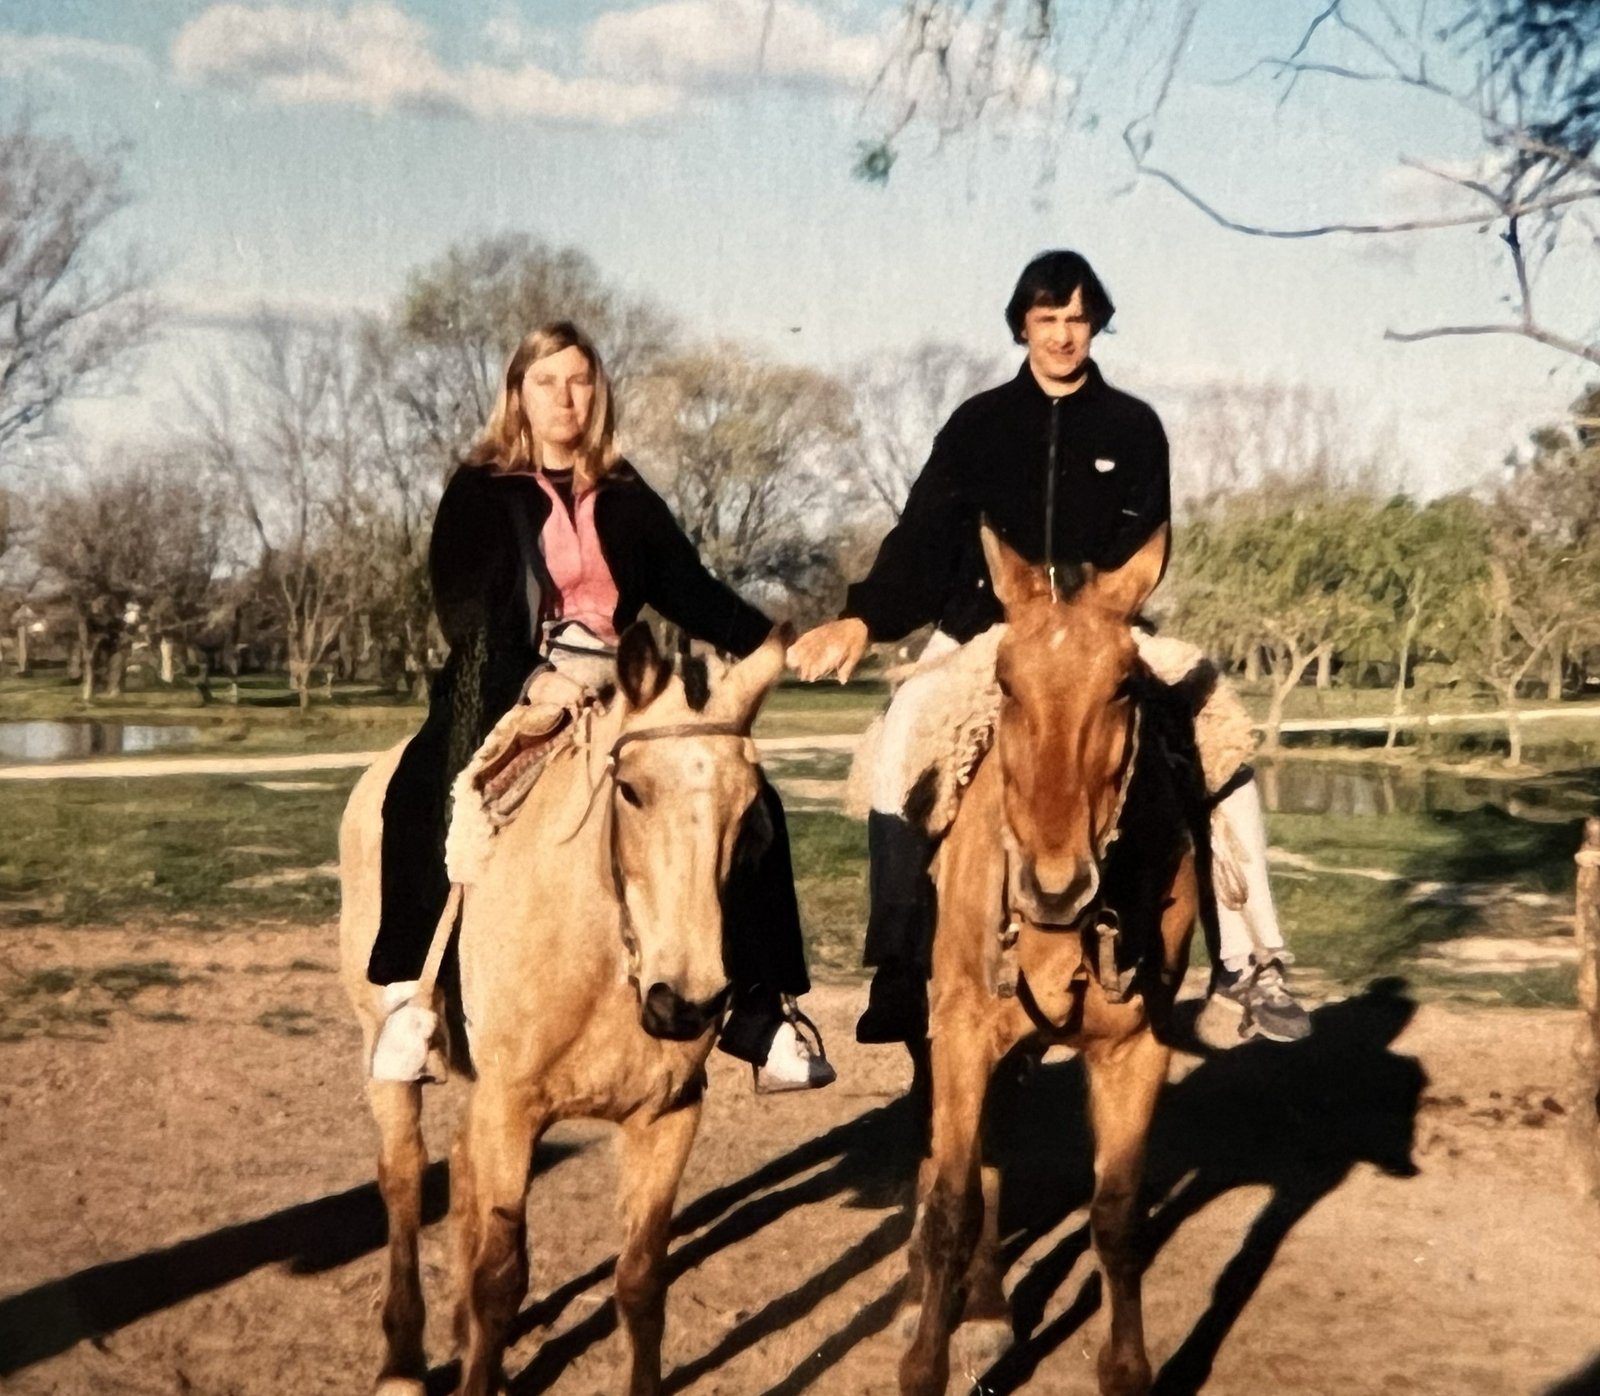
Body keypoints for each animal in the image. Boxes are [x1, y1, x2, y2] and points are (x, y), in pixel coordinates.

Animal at [338, 623, 787, 1396]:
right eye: (631, 790)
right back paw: (402, 1362)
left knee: (459, 1164)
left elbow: (641, 1280)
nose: (684, 1004)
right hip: (390, 1056)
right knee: (403, 1177)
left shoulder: (668, 1116)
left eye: (749, 806)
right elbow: (500, 1277)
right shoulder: (513, 1109)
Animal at [897, 523, 1199, 1396]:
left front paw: (1127, 1367)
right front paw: (924, 1360)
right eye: (1005, 681)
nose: (1056, 887)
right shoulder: (962, 1031)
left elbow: (1118, 1216)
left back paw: (986, 1306)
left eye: (1125, 685)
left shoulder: (1137, 1048)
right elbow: (953, 1204)